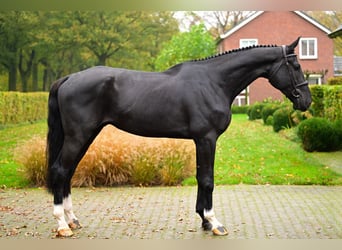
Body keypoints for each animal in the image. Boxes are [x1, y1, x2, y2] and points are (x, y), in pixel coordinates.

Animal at [46, 37, 312, 236]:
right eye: (296, 66)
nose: (307, 101)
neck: (213, 82)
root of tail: (69, 78)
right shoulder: (206, 139)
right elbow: (207, 179)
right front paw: (214, 222)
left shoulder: (201, 140)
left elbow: (200, 177)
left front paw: (204, 221)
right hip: (79, 136)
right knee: (60, 170)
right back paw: (62, 225)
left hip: (86, 135)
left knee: (68, 172)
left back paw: (72, 220)